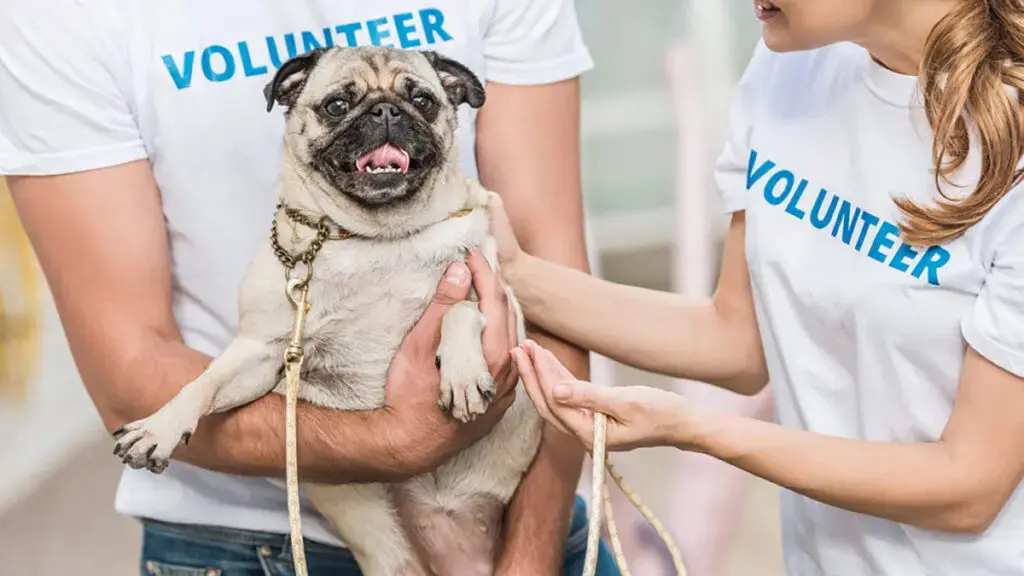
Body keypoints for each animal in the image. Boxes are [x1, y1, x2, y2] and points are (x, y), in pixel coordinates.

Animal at [111, 45, 544, 573]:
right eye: (337, 105)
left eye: (423, 100)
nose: (386, 111)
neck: (377, 239)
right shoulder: (259, 353)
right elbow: (203, 384)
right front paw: (160, 426)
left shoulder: (499, 304)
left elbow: (460, 311)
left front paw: (461, 374)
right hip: (388, 556)